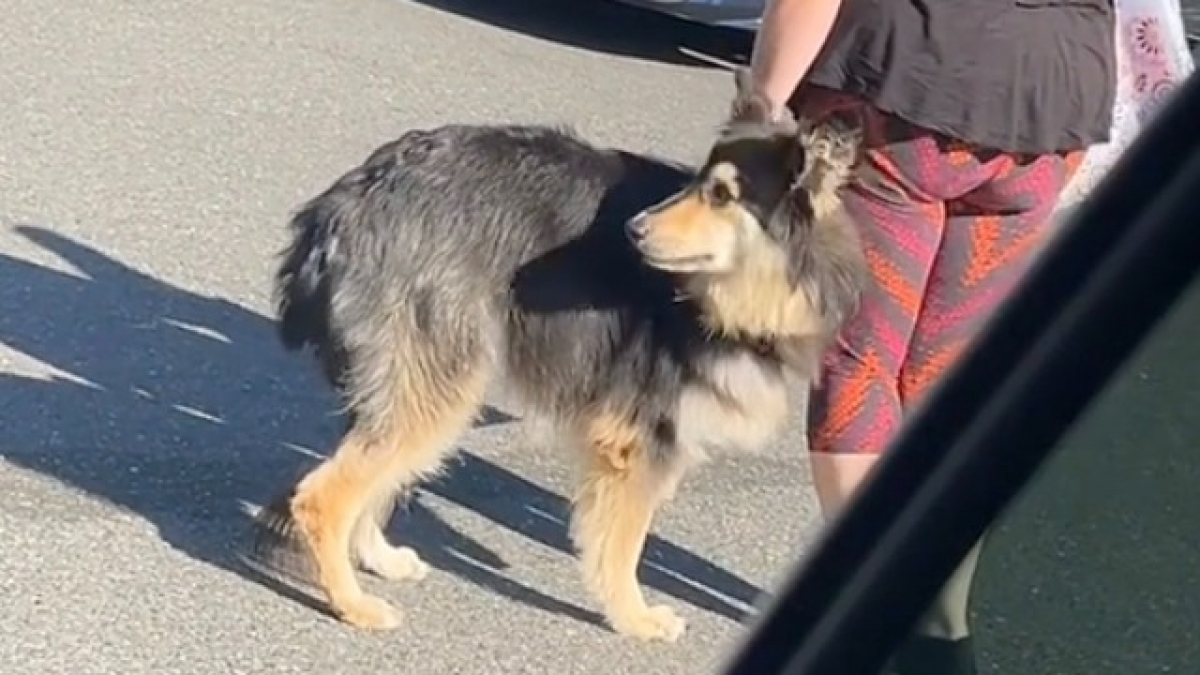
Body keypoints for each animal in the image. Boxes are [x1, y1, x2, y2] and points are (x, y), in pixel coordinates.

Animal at [258, 73, 868, 638]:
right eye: (700, 184)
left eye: (721, 196)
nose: (633, 229)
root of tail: (346, 202)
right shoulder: (638, 437)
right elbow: (623, 543)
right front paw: (635, 618)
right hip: (441, 381)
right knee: (323, 498)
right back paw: (354, 604)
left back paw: (378, 559)